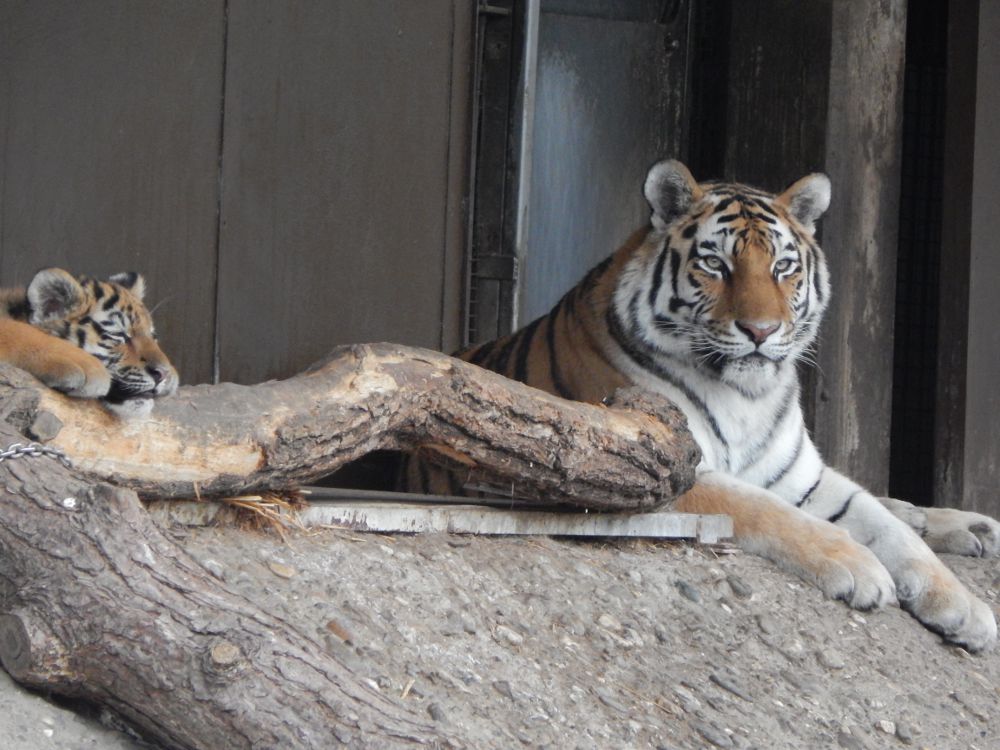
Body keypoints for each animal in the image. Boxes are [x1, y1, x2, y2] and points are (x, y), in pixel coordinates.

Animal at [420, 160, 992, 652]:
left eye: (784, 267)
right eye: (716, 264)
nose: (761, 331)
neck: (747, 397)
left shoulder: (803, 476)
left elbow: (885, 525)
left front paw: (965, 606)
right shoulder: (661, 465)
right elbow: (771, 511)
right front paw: (860, 565)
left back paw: (971, 528)